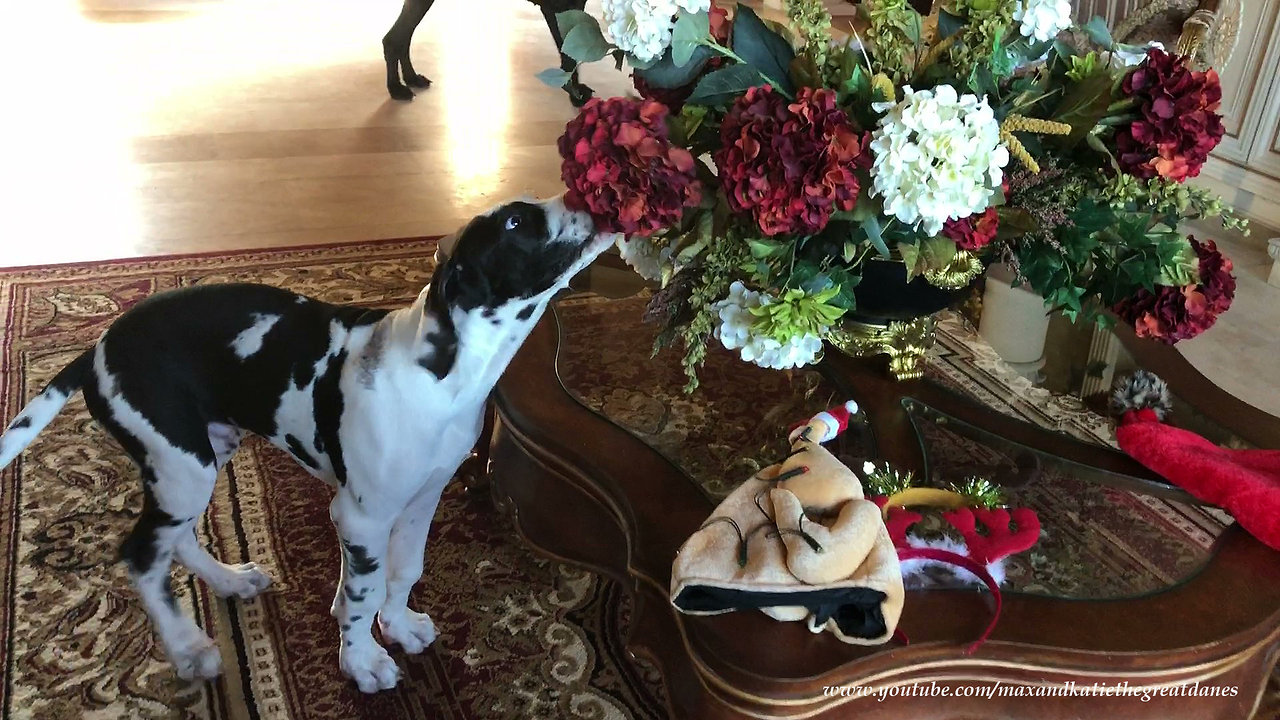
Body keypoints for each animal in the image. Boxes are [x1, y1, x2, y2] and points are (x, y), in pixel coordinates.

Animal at [0, 194, 614, 691]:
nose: (592, 197)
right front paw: (362, 660)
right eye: (515, 222)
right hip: (182, 466)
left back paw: (228, 581)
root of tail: (98, 347)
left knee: (177, 538)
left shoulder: (422, 499)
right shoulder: (359, 517)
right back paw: (189, 649)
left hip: (201, 457)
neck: (441, 374)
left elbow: (403, 573)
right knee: (142, 555)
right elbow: (362, 595)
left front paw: (397, 625)